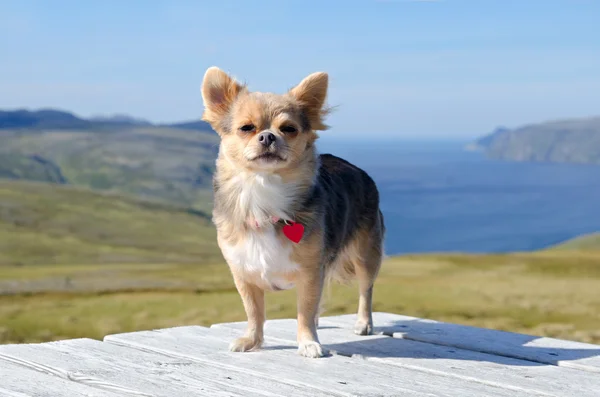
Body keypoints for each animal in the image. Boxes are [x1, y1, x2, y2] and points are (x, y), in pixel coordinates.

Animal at [202, 66, 384, 358]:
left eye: (289, 129)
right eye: (246, 128)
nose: (267, 136)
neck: (263, 191)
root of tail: (359, 170)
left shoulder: (310, 273)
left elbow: (304, 311)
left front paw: (308, 342)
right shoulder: (243, 273)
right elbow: (254, 312)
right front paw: (251, 340)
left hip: (366, 255)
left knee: (365, 289)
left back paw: (363, 323)